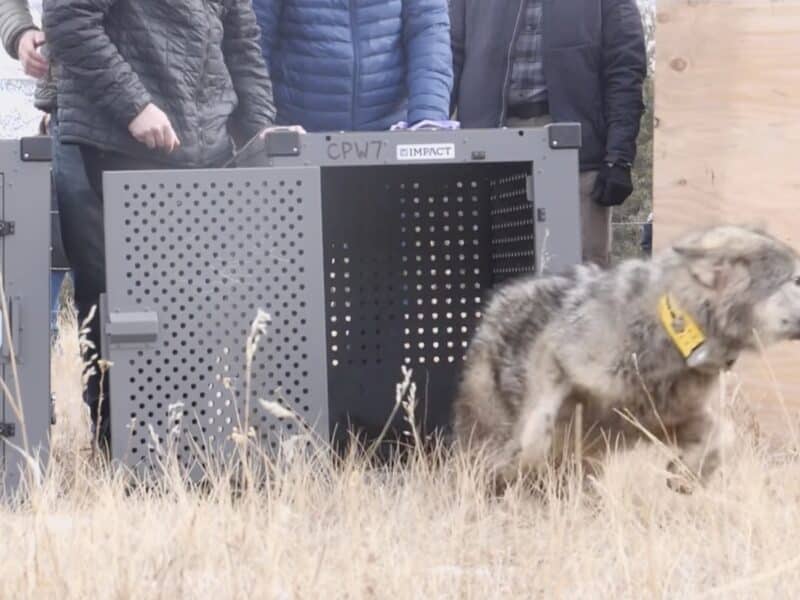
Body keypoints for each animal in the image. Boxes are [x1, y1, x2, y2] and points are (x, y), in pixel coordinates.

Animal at [453, 225, 800, 490]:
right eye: (797, 280)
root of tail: (495, 305)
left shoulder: (662, 420)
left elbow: (724, 435)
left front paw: (685, 474)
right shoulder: (554, 357)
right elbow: (536, 431)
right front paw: (517, 465)